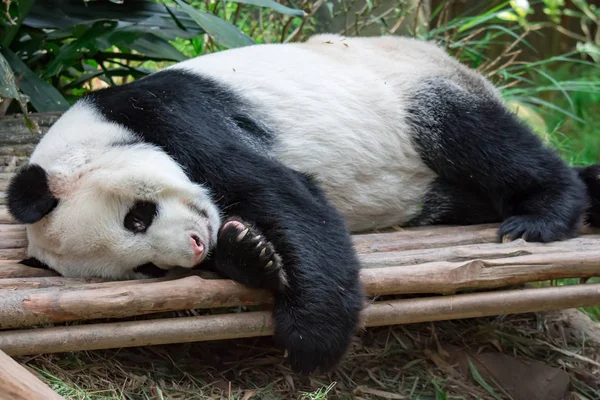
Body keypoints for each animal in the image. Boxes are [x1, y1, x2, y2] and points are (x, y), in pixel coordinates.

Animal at [5, 34, 600, 376]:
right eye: (147, 269)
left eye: (136, 217)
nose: (195, 247)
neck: (91, 130)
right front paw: (250, 252)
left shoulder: (168, 113)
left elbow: (282, 193)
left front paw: (312, 339)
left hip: (411, 90)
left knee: (480, 141)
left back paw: (546, 210)